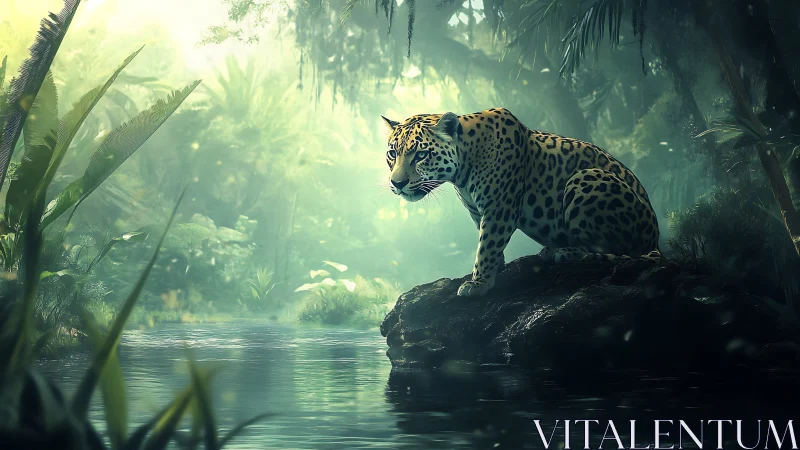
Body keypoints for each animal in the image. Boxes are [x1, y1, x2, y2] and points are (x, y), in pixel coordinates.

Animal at [381, 108, 661, 297]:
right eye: (392, 153)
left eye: (421, 155)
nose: (397, 183)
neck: (464, 164)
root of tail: (655, 239)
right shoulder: (477, 210)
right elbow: (485, 240)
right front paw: (496, 267)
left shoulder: (499, 208)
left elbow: (487, 244)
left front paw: (479, 283)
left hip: (585, 178)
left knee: (610, 249)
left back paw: (564, 251)